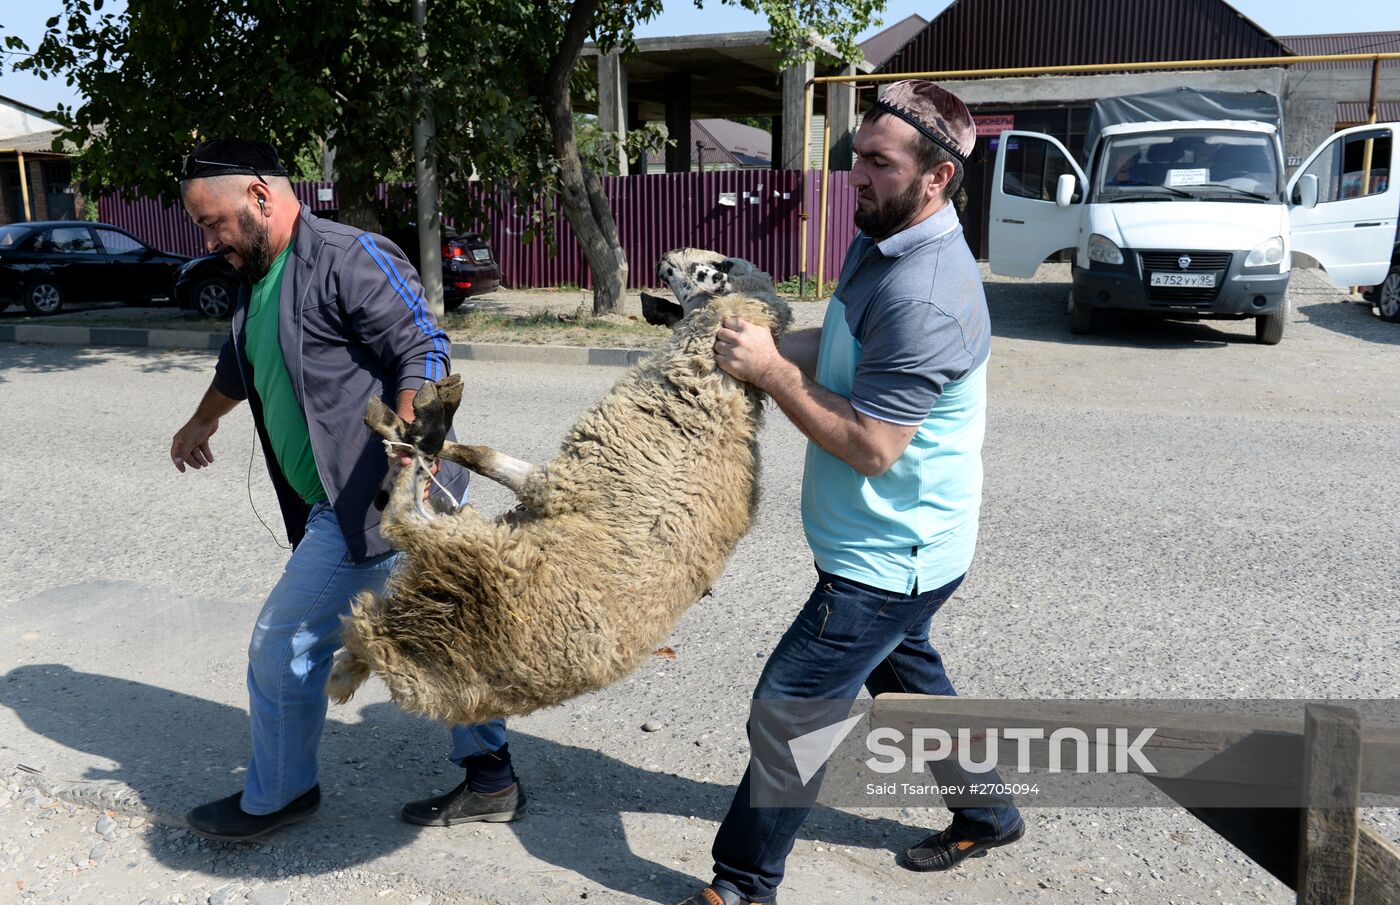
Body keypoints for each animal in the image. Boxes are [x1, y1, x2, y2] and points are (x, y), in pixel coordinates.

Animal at [322, 249, 795, 728]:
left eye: (718, 264)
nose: (665, 255)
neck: (711, 398)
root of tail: (407, 647)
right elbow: (473, 453)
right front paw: (411, 431)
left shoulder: (558, 481)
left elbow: (482, 455)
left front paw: (418, 431)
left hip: (475, 550)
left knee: (399, 519)